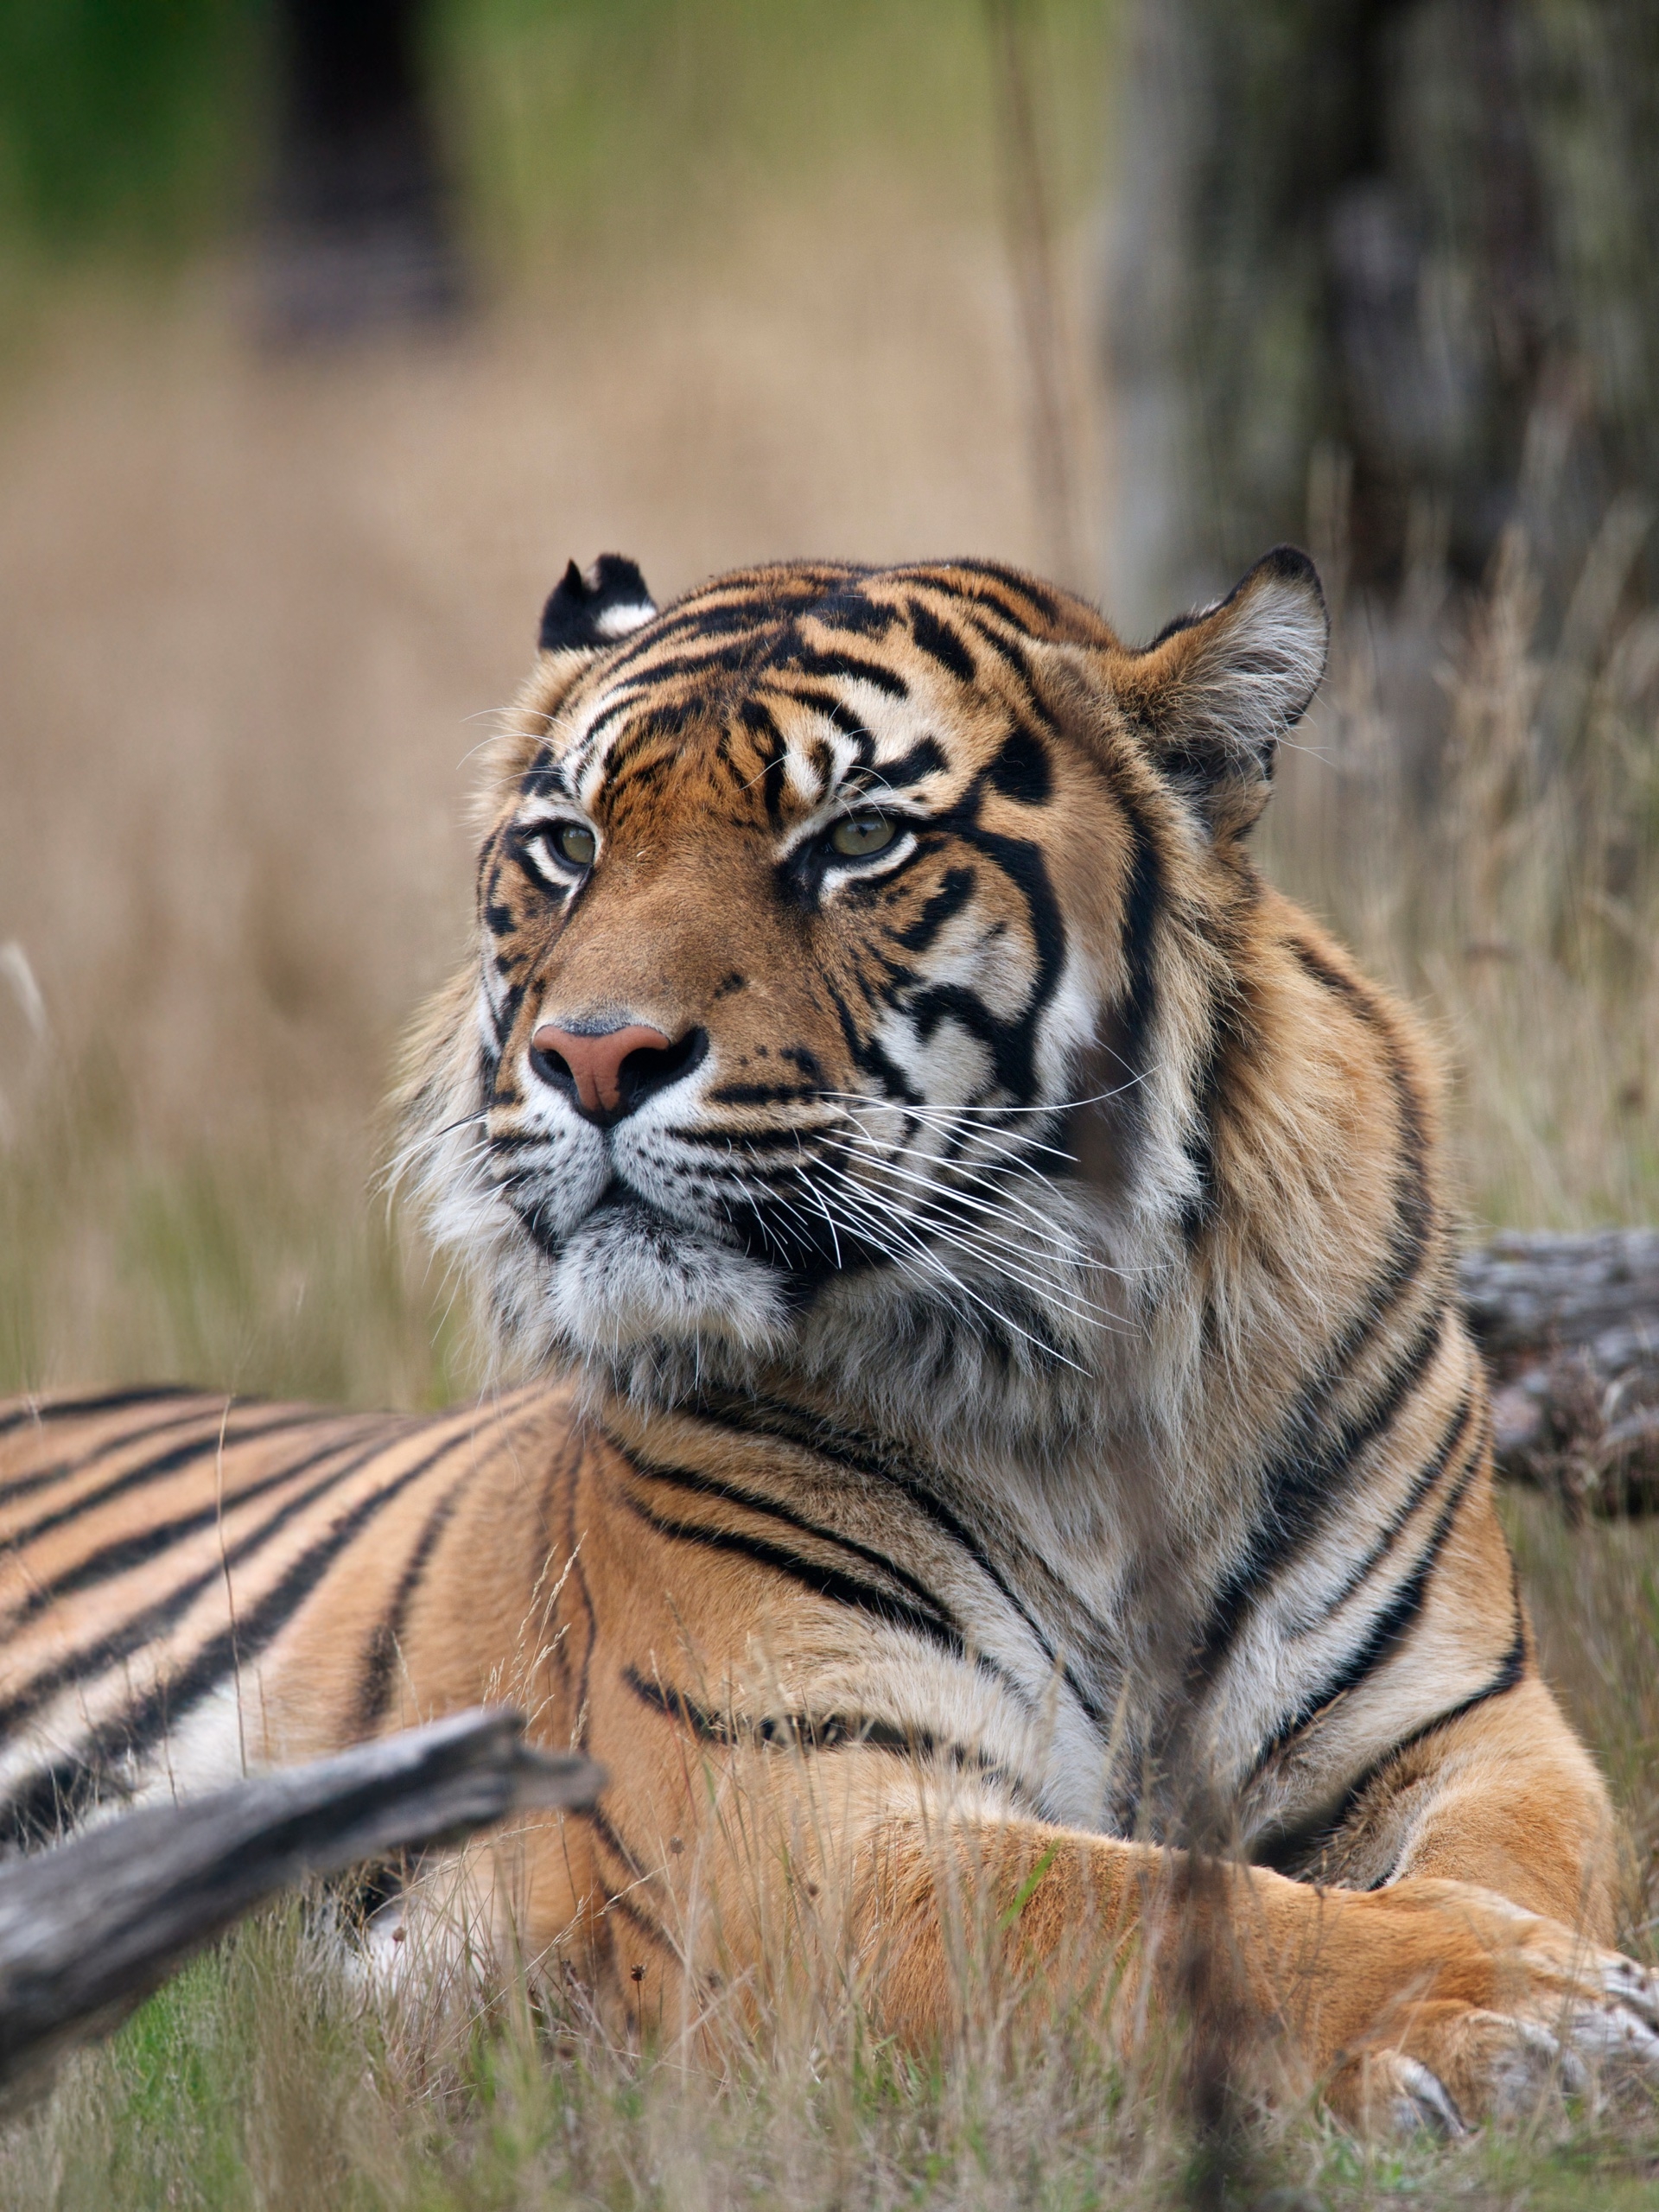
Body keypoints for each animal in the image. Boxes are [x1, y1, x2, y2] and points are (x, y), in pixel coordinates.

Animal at [3, 546, 1657, 2134]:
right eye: (568, 847)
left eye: (857, 841)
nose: (592, 1056)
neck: (1083, 1386)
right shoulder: (788, 1808)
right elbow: (1148, 1912)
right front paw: (1527, 2012)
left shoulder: (1468, 1727)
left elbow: (1524, 1861)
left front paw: (1549, 1983)